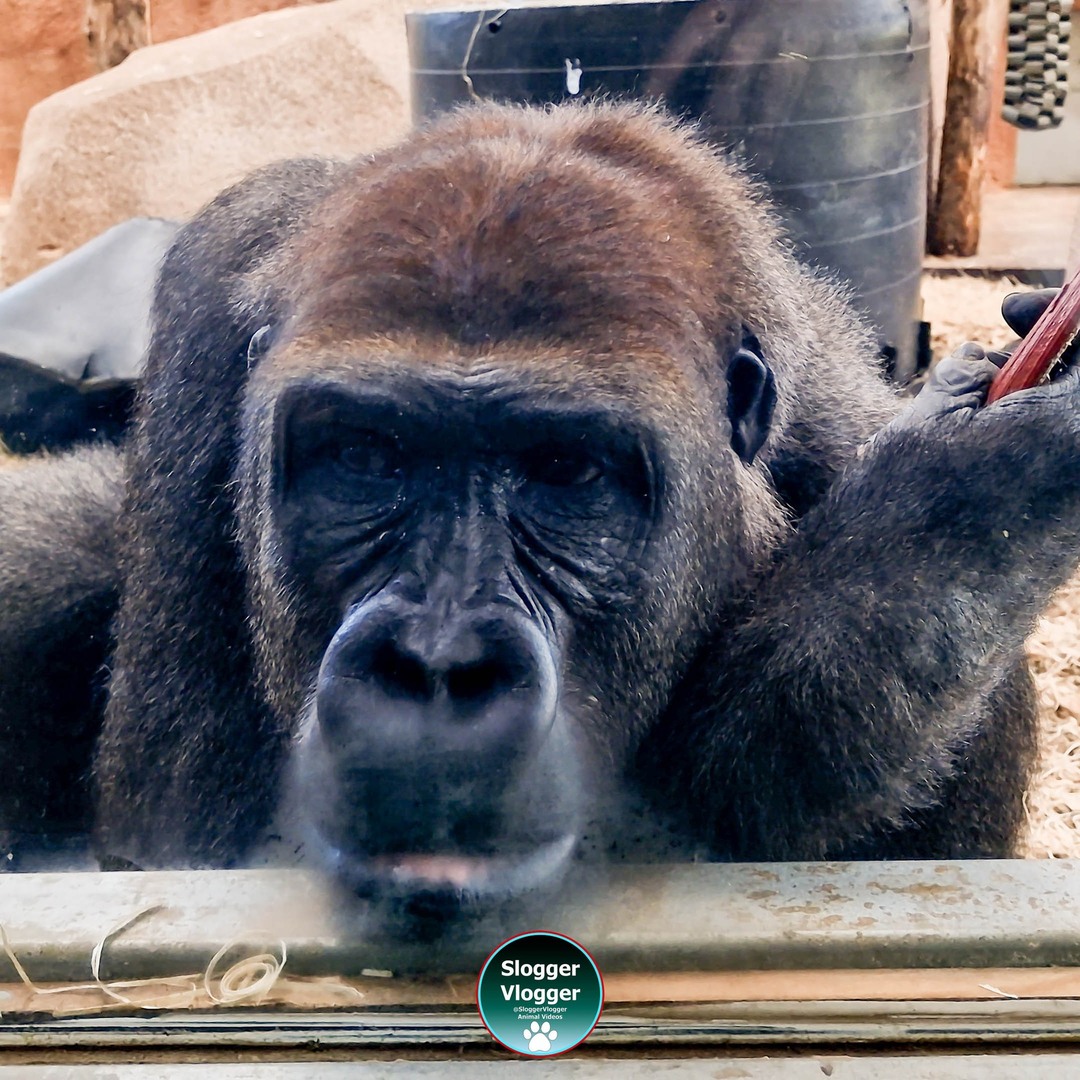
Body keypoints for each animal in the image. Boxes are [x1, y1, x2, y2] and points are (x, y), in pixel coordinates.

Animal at [0, 101, 1074, 916]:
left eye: (565, 470)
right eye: (366, 457)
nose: (439, 665)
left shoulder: (827, 397)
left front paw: (956, 505)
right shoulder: (210, 307)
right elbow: (181, 838)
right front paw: (958, 495)